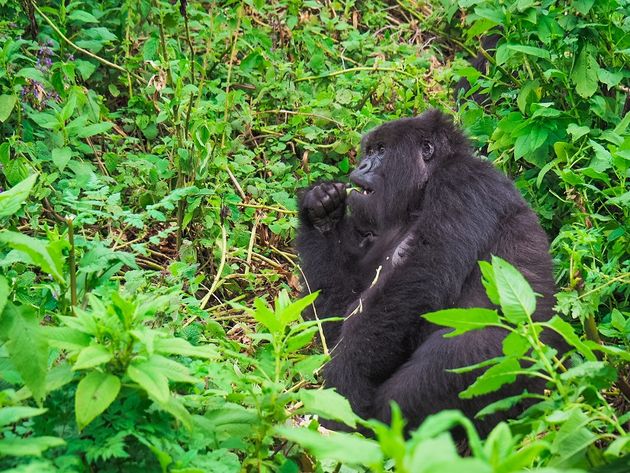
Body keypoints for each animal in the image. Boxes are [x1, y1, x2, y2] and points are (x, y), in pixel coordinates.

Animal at [298, 110, 560, 436]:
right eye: (368, 151)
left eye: (381, 150)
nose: (361, 166)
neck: (419, 196)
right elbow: (331, 314)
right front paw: (322, 211)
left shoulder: (462, 181)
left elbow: (423, 277)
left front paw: (348, 375)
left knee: (453, 356)